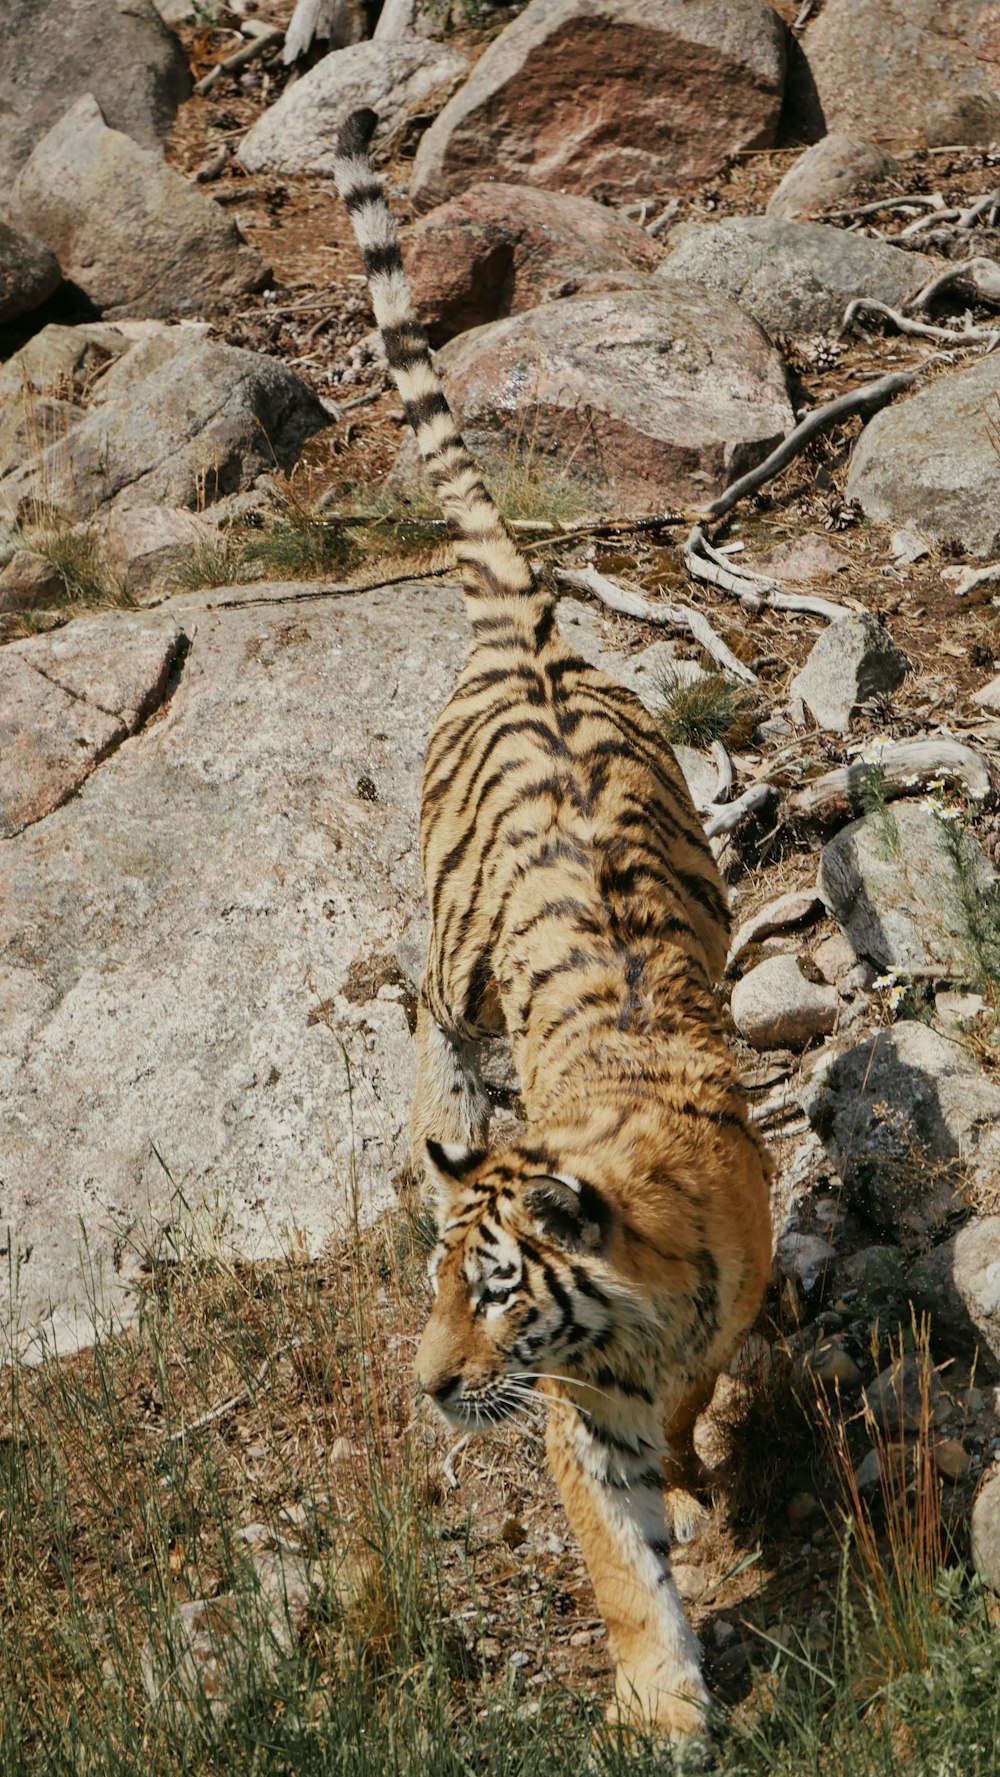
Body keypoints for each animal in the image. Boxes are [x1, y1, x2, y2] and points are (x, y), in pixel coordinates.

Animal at [332, 103, 770, 1741]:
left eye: (496, 1295)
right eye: (437, 1293)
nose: (430, 1386)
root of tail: (528, 622)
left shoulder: (706, 1326)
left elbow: (692, 1418)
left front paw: (700, 1498)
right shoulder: (579, 1418)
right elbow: (616, 1556)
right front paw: (661, 1701)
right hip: (457, 969)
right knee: (428, 1036)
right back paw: (433, 1126)